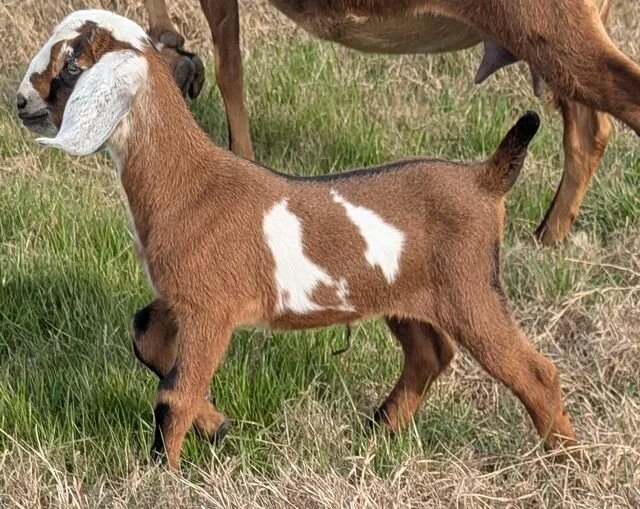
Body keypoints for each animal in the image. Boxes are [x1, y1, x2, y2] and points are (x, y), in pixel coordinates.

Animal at [18, 10, 576, 470]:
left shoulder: (209, 308)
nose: (21, 103)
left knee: (536, 372)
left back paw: (564, 461)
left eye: (72, 64)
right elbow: (147, 339)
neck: (191, 183)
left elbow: (176, 394)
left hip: (471, 289)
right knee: (430, 354)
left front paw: (163, 476)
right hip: (406, 296)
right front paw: (217, 427)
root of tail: (483, 180)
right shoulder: (180, 296)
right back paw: (379, 431)